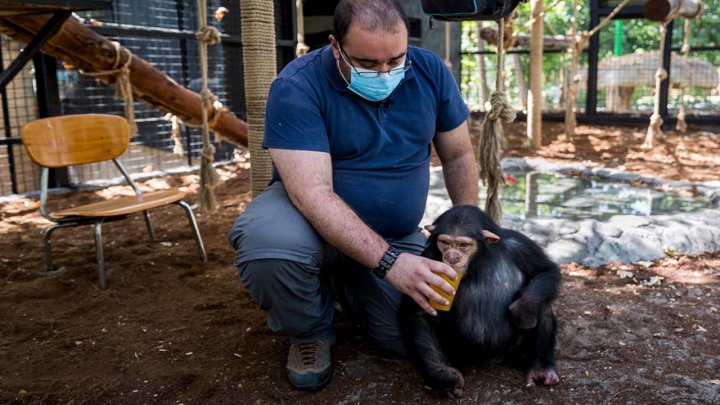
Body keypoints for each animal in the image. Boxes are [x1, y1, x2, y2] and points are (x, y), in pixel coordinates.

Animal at [400, 207, 564, 396]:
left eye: (463, 245)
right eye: (445, 243)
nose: (452, 257)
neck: (479, 262)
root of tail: (494, 359)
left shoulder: (521, 245)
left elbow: (545, 270)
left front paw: (523, 308)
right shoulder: (427, 261)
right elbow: (419, 312)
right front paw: (444, 377)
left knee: (541, 303)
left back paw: (541, 368)